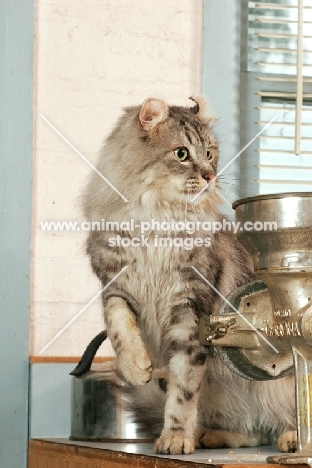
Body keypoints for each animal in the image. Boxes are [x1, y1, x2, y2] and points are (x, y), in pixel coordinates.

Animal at [81, 97, 296, 456]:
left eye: (209, 152)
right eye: (182, 154)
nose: (210, 175)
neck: (158, 217)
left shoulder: (190, 309)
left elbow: (182, 390)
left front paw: (175, 438)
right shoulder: (116, 288)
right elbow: (119, 328)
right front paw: (136, 367)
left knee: (282, 420)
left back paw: (291, 438)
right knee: (253, 430)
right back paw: (211, 436)